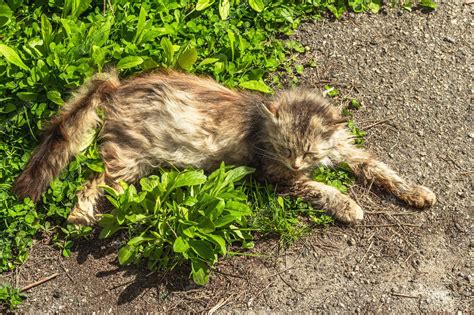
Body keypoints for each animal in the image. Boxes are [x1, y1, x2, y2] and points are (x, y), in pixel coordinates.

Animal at [12, 70, 436, 226]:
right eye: (285, 149)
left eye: (309, 152)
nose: (298, 164)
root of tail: (118, 85)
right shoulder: (275, 174)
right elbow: (322, 188)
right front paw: (349, 206)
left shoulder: (349, 152)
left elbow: (384, 171)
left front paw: (418, 193)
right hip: (128, 159)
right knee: (92, 182)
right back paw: (82, 216)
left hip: (132, 160)